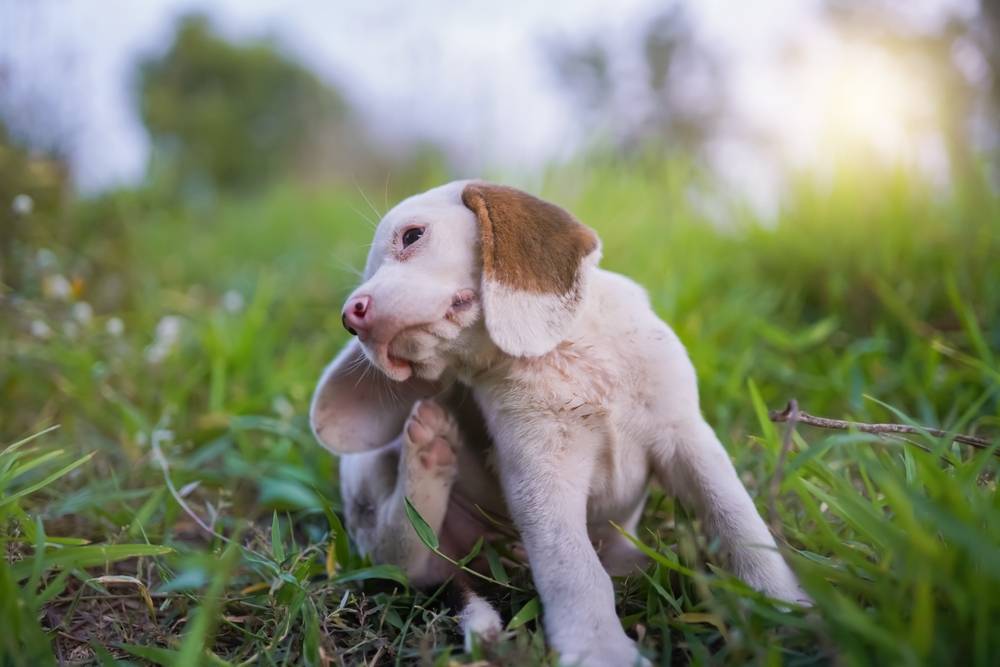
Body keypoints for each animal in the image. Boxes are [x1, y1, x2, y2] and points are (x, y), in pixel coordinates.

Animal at [308, 180, 808, 664]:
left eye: (412, 236)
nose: (352, 317)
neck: (563, 354)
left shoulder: (686, 439)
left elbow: (738, 522)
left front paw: (782, 603)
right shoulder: (541, 477)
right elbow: (574, 571)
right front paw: (599, 649)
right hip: (373, 484)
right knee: (406, 553)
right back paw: (427, 456)